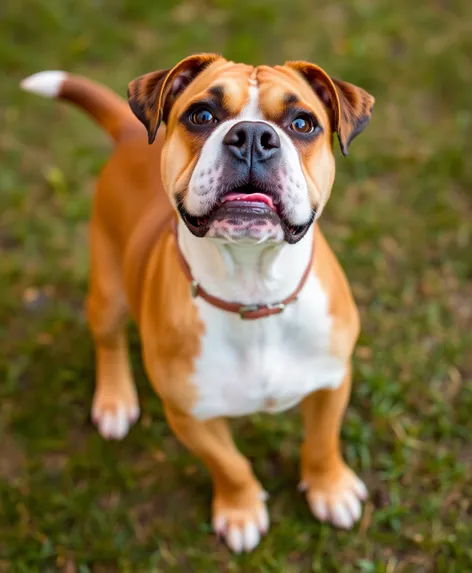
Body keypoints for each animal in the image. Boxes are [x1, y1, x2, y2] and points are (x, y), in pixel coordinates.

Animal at [22, 55, 374, 552]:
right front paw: (241, 511)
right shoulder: (190, 415)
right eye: (202, 115)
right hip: (108, 292)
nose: (253, 135)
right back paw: (115, 400)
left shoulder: (331, 381)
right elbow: (230, 465)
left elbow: (322, 442)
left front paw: (330, 488)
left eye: (302, 123)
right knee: (107, 341)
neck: (253, 294)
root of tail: (132, 133)